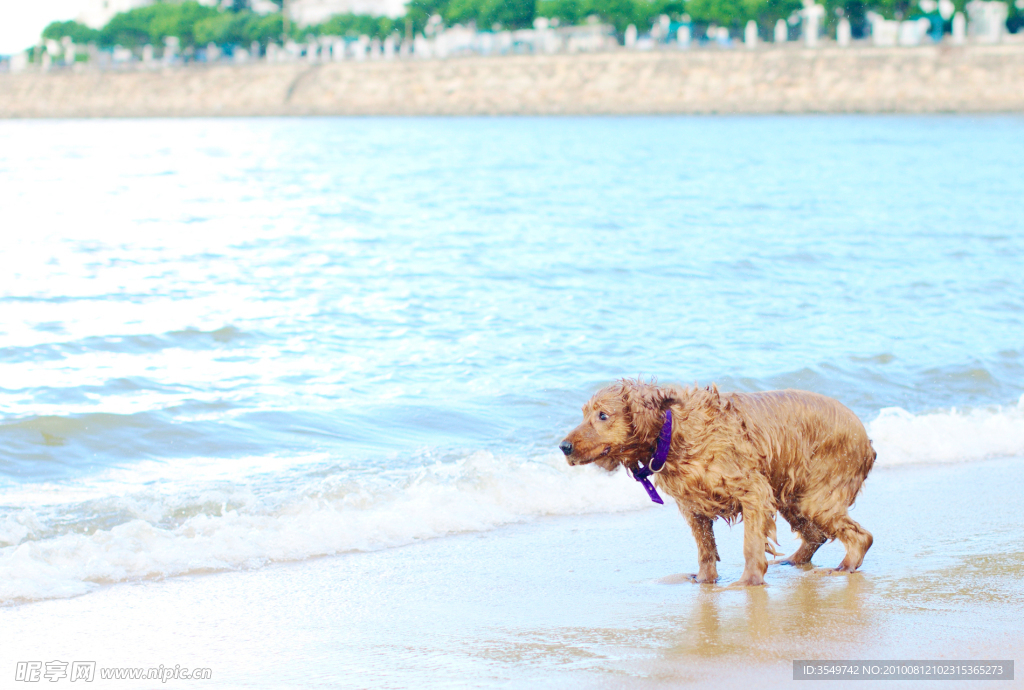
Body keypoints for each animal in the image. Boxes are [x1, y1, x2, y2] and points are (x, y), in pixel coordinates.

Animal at [557, 378, 876, 581]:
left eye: (603, 415)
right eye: (584, 414)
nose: (564, 446)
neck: (673, 433)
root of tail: (867, 441)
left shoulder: (754, 491)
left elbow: (751, 545)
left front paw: (748, 581)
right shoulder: (692, 506)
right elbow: (705, 549)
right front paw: (703, 580)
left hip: (816, 497)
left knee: (862, 537)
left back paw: (843, 568)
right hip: (792, 496)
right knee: (816, 535)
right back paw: (793, 562)